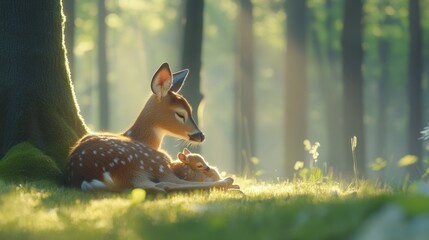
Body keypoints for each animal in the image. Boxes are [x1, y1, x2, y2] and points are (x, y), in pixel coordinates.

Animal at [64, 63, 234, 193]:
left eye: (192, 109)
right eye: (180, 114)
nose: (200, 135)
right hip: (148, 160)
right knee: (163, 185)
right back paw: (230, 182)